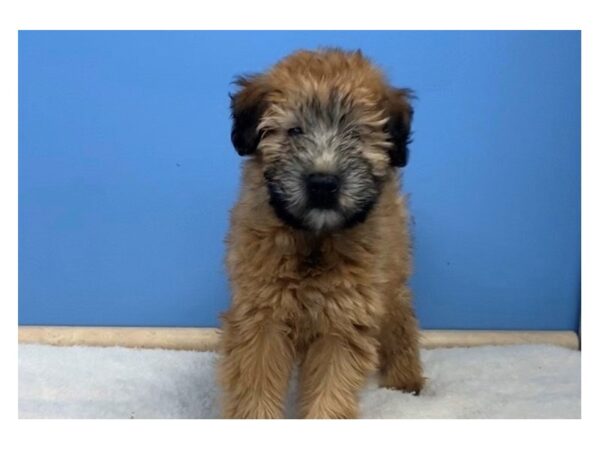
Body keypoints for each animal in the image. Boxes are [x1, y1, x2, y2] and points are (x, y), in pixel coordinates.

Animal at [218, 49, 424, 418]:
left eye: (356, 134)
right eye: (294, 130)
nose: (323, 184)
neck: (314, 240)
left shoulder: (344, 320)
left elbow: (332, 387)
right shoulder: (261, 314)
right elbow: (256, 382)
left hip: (392, 271)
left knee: (400, 316)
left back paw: (405, 378)